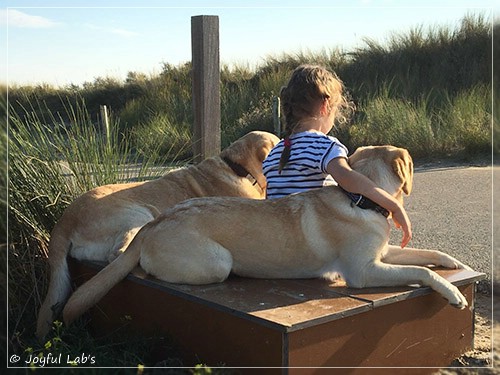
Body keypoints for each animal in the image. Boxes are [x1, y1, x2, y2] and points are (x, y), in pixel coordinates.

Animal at [62, 145, 472, 328]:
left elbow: (424, 255)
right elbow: (421, 271)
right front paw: (452, 293)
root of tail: (156, 221)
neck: (361, 197)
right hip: (216, 262)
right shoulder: (365, 272)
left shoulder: (383, 255)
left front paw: (450, 260)